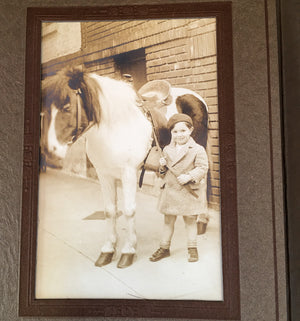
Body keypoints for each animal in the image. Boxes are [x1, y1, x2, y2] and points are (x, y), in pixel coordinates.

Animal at [41, 67, 209, 268]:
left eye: (67, 107)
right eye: (44, 110)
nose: (49, 150)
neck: (114, 127)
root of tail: (194, 96)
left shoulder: (128, 173)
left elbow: (128, 210)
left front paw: (128, 251)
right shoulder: (104, 175)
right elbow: (110, 211)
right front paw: (108, 250)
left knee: (203, 183)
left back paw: (202, 221)